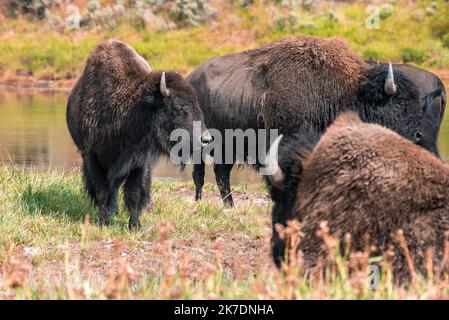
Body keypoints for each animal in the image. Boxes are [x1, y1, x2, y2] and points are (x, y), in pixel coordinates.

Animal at [67, 40, 211, 229]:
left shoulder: (138, 161)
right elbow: (101, 191)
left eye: (197, 105)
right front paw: (104, 221)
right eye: (179, 107)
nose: (206, 139)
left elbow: (133, 193)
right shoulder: (92, 156)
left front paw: (134, 226)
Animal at [186, 35, 444, 205]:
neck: (346, 93)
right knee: (206, 174)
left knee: (219, 173)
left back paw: (226, 205)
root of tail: (191, 78)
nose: (418, 135)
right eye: (397, 103)